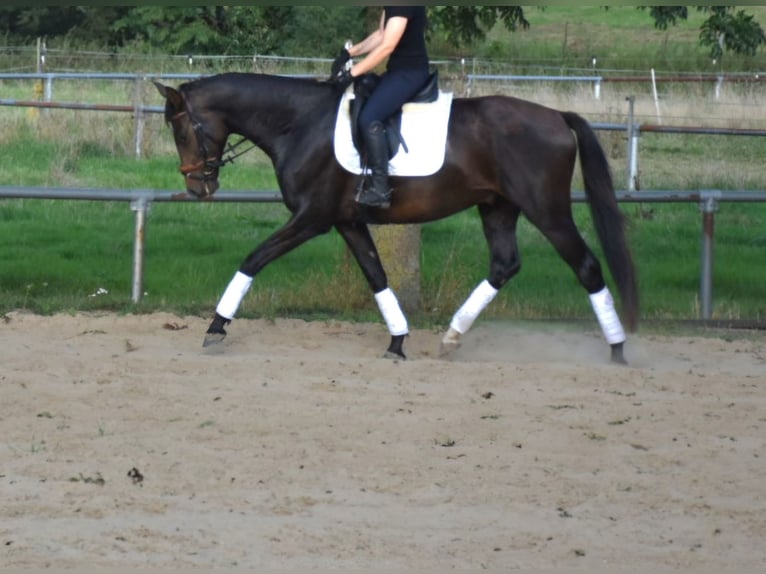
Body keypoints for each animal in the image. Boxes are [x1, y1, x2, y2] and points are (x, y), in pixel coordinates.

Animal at [153, 72, 640, 364]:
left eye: (182, 130)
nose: (197, 188)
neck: (300, 123)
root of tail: (556, 116)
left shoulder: (312, 218)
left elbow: (253, 259)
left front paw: (216, 327)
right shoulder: (348, 222)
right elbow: (377, 276)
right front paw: (398, 341)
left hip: (548, 211)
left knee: (586, 266)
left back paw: (618, 349)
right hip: (498, 208)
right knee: (505, 264)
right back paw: (451, 336)